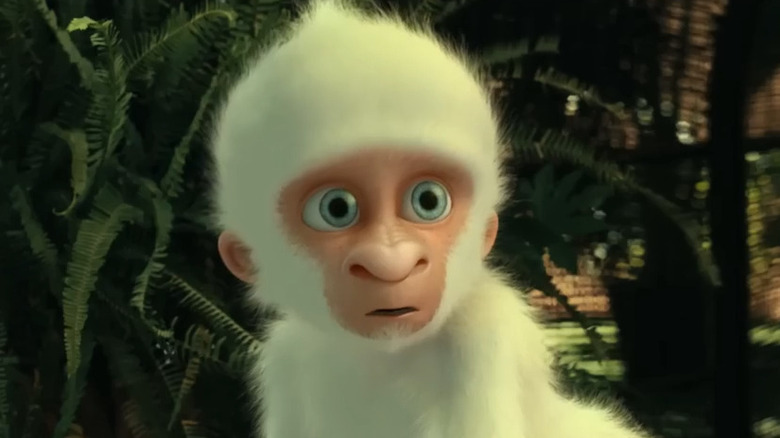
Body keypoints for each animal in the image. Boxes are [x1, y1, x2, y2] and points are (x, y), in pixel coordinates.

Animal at [210, 1, 651, 437]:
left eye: (428, 200)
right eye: (336, 208)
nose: (391, 264)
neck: (383, 355)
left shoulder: (485, 332)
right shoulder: (284, 358)